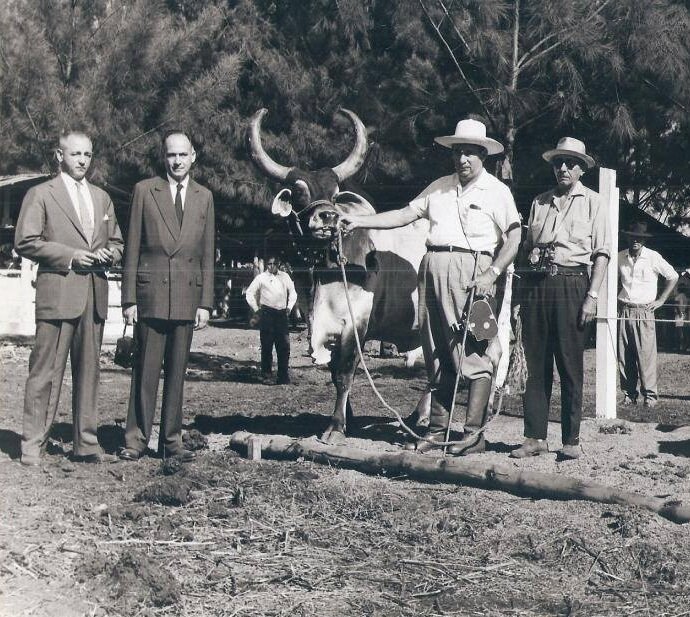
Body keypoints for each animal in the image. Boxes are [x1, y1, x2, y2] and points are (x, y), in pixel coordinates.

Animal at [247, 108, 428, 440]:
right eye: (299, 192)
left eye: (334, 194)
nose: (328, 217)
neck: (321, 271)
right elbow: (333, 373)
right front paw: (348, 420)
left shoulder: (354, 325)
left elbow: (344, 373)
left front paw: (335, 426)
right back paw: (417, 415)